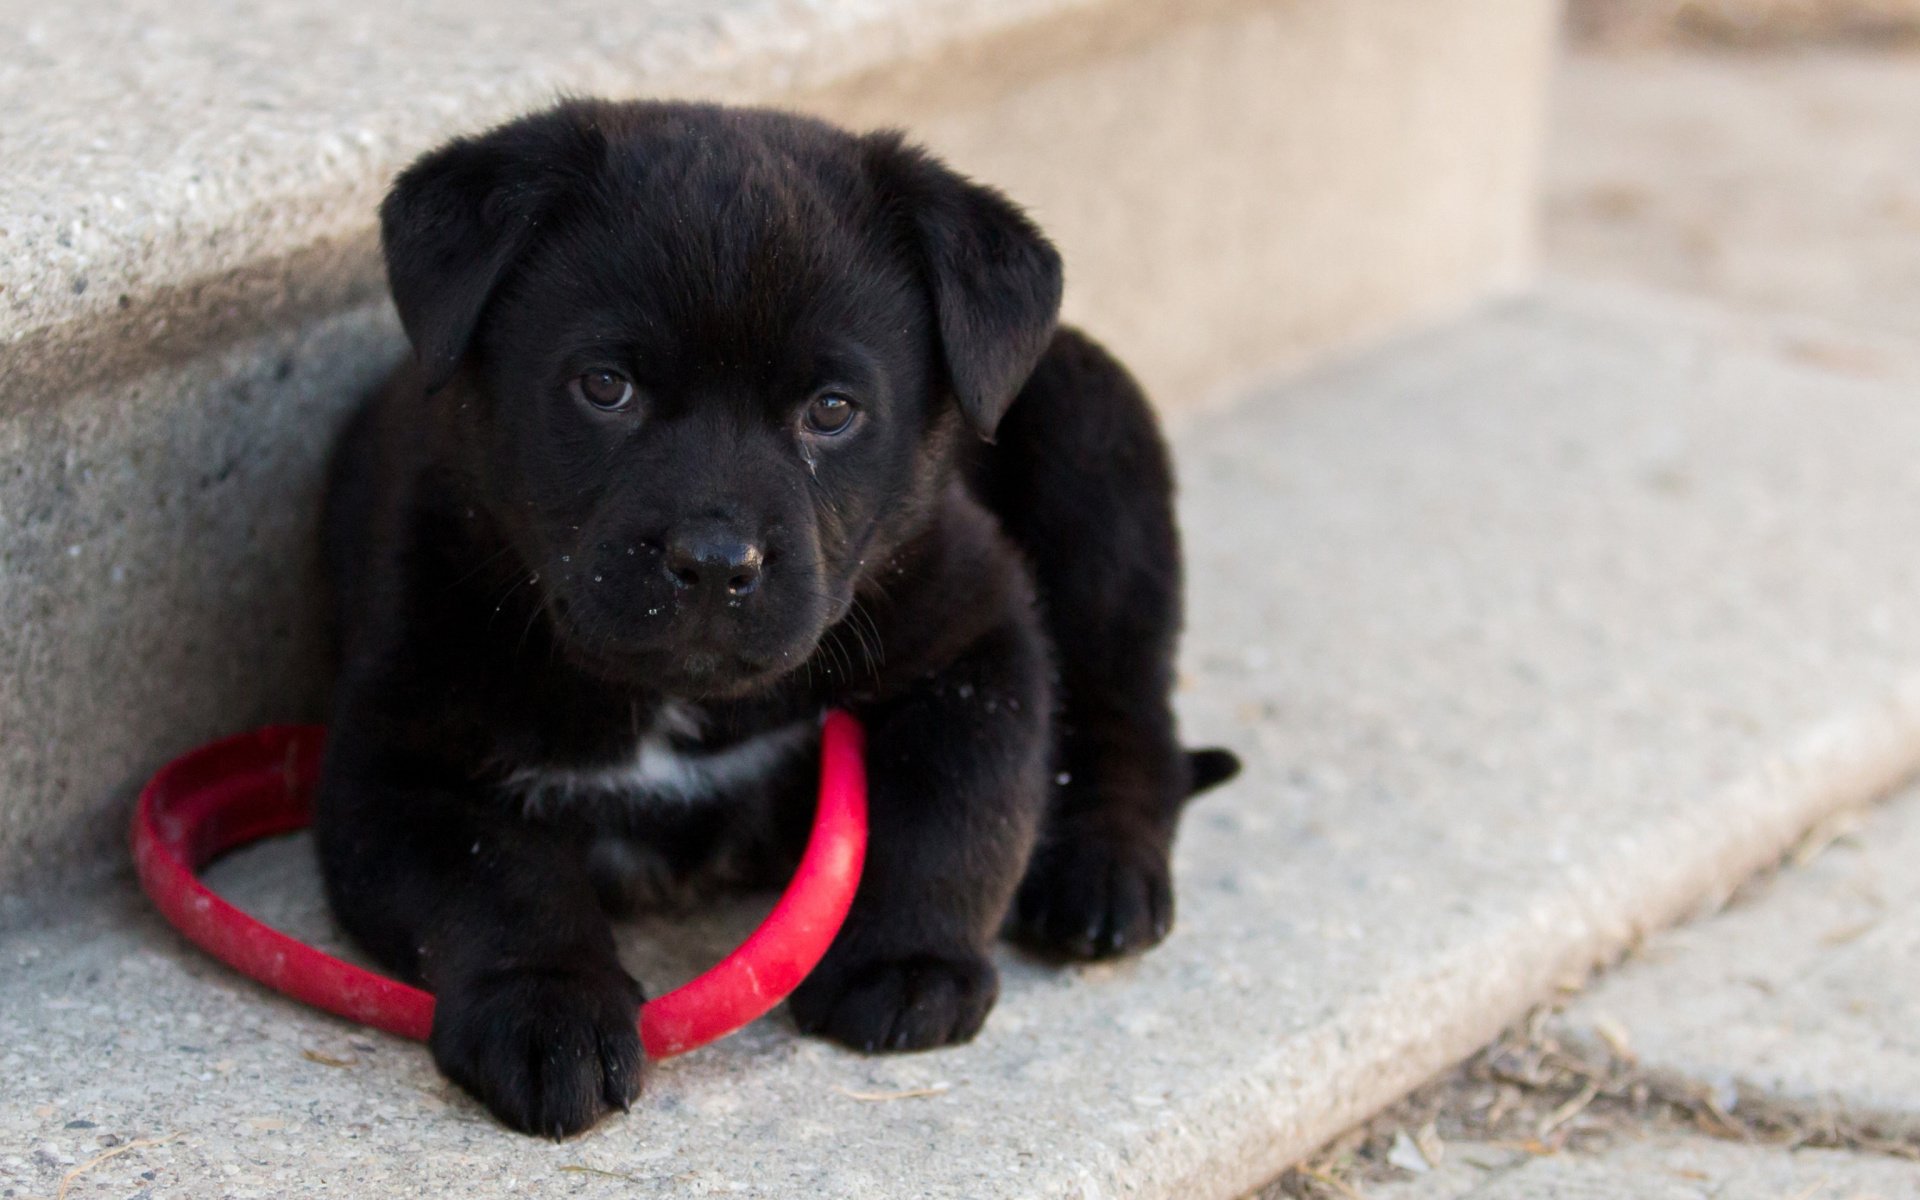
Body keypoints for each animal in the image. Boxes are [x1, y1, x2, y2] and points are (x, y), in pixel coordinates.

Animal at [316, 100, 1236, 1128]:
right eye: (605, 387)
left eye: (831, 410)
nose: (716, 562)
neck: (680, 704)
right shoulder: (400, 768)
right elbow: (498, 883)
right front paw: (547, 1007)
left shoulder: (977, 629)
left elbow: (960, 803)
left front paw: (906, 961)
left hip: (1096, 448)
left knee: (1128, 705)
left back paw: (1102, 870)